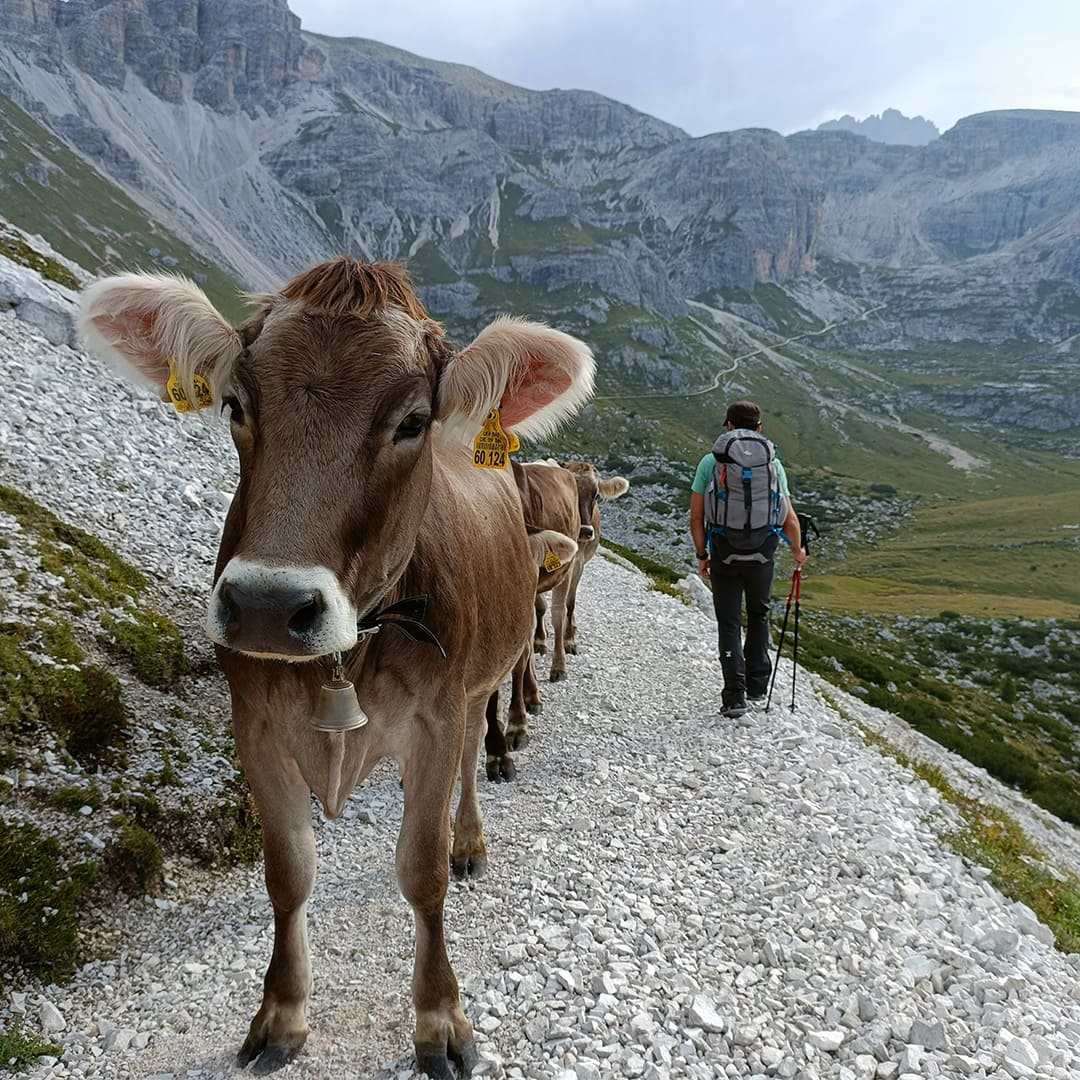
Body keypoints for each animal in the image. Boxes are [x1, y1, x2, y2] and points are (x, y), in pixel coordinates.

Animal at [79, 261, 596, 1080]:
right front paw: (281, 1016)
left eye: (413, 421)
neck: (347, 655)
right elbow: (288, 875)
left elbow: (422, 872)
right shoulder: (255, 727)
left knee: (468, 768)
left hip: (479, 680)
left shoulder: (434, 721)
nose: (268, 606)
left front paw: (440, 1021)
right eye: (235, 403)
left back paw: (470, 839)